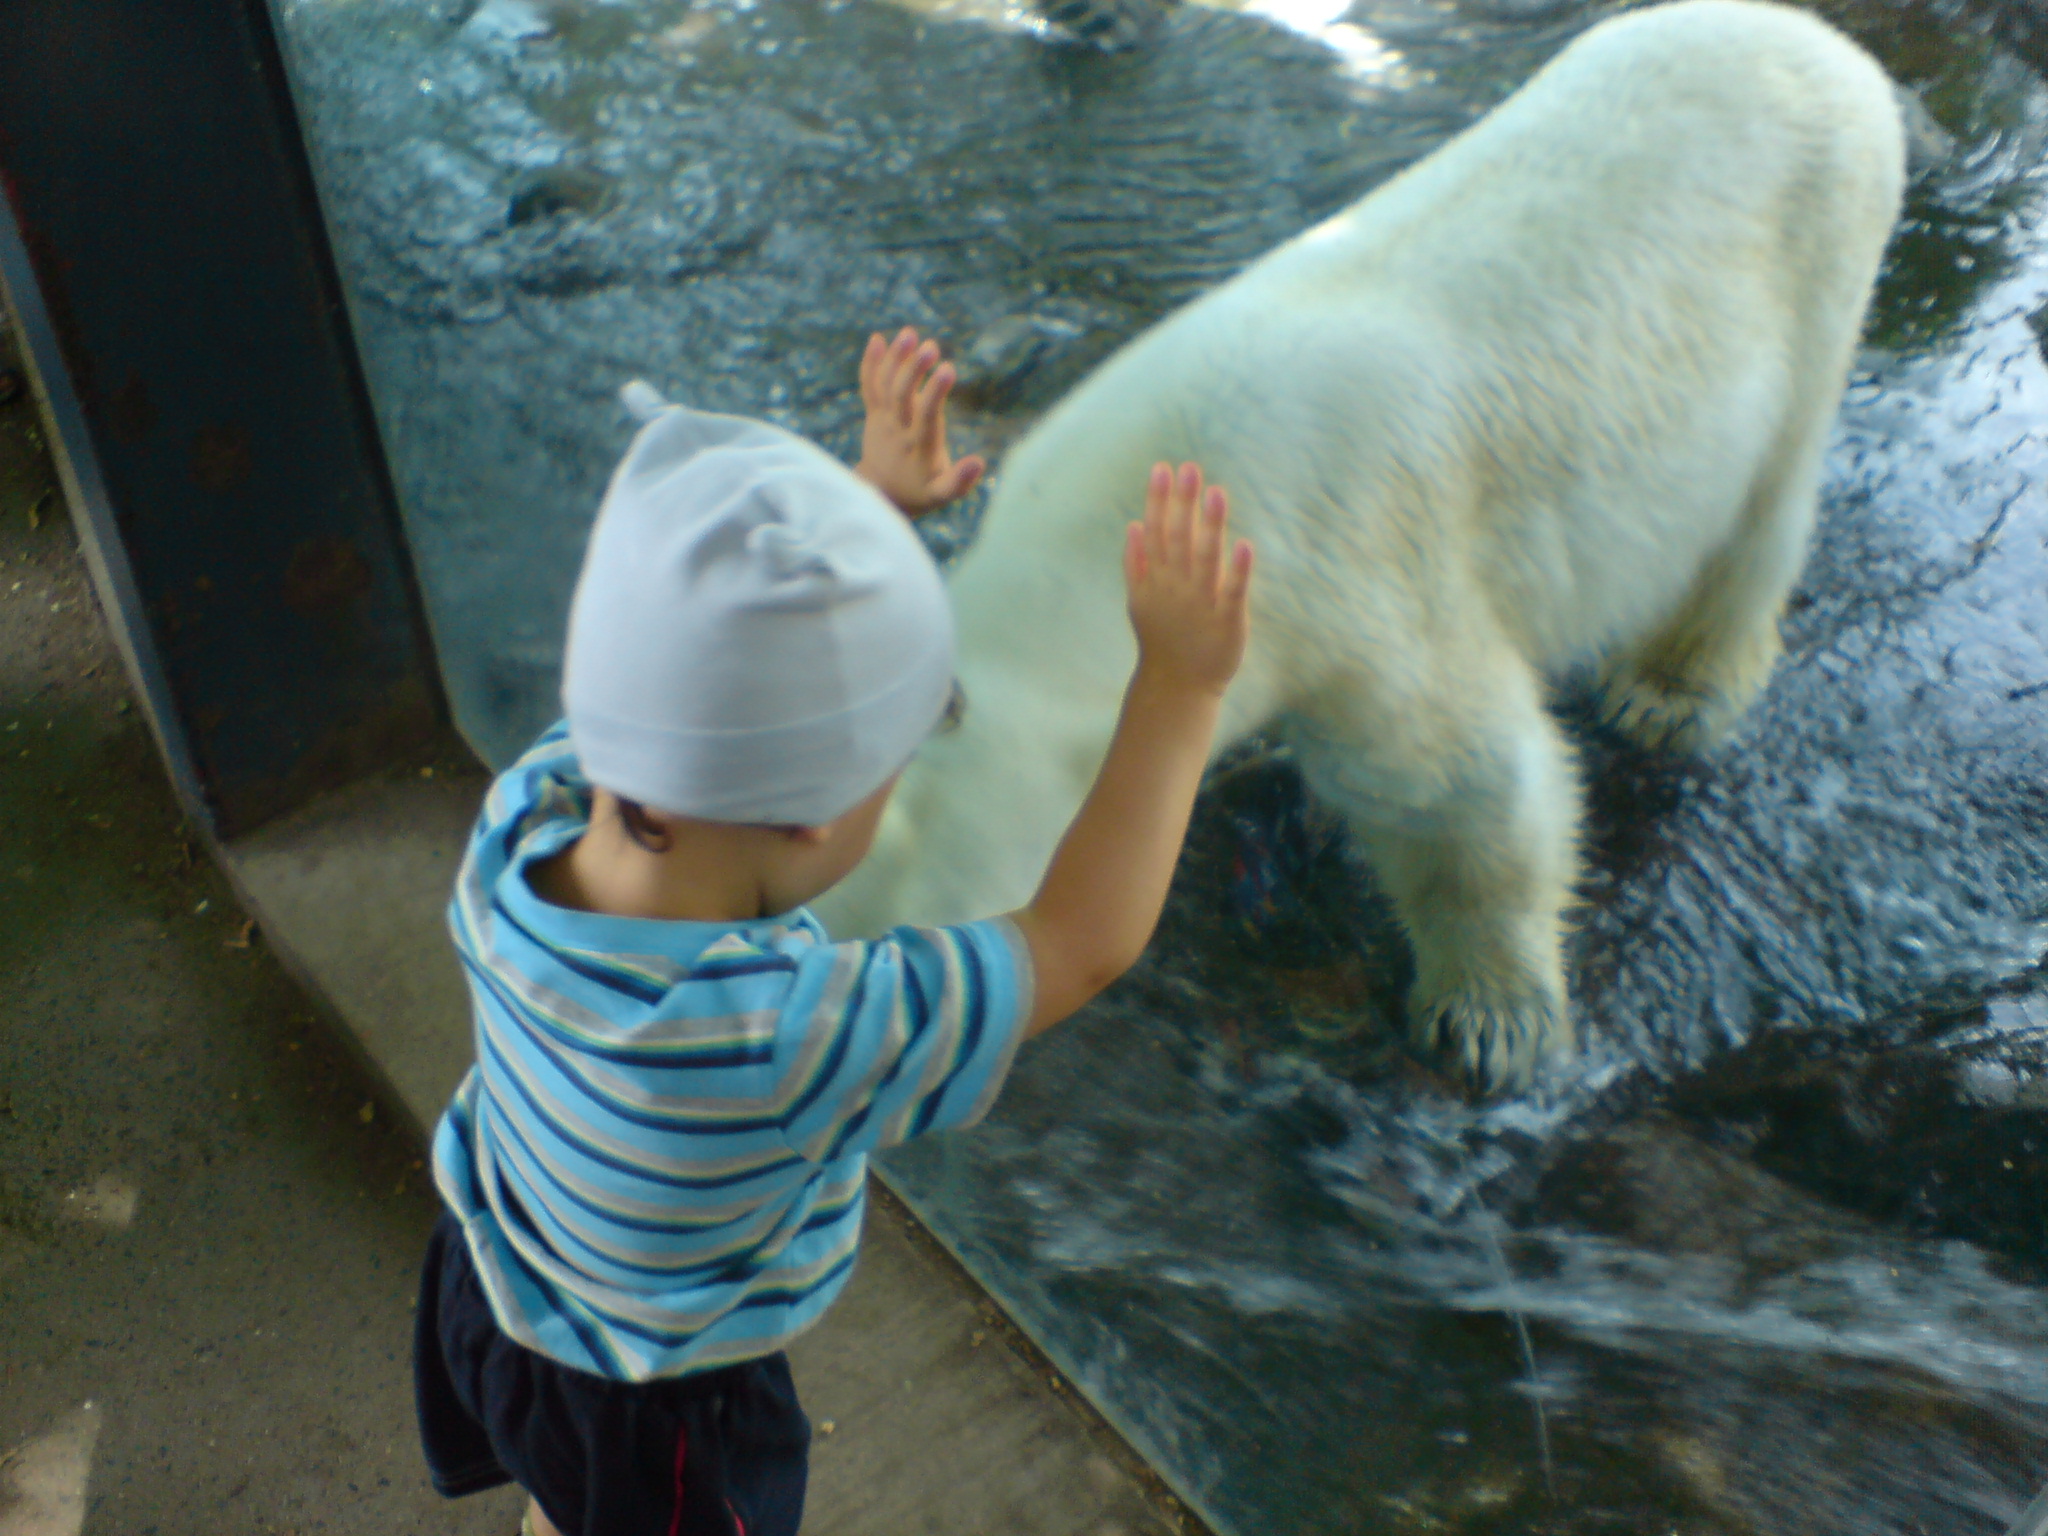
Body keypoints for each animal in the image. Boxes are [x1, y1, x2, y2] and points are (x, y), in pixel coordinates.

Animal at [811, 0, 1900, 1097]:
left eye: (916, 983)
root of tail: (1820, 45)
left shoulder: (1352, 590)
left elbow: (1471, 792)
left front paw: (1488, 1022)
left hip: (1812, 265)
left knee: (1755, 513)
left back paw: (1670, 692)